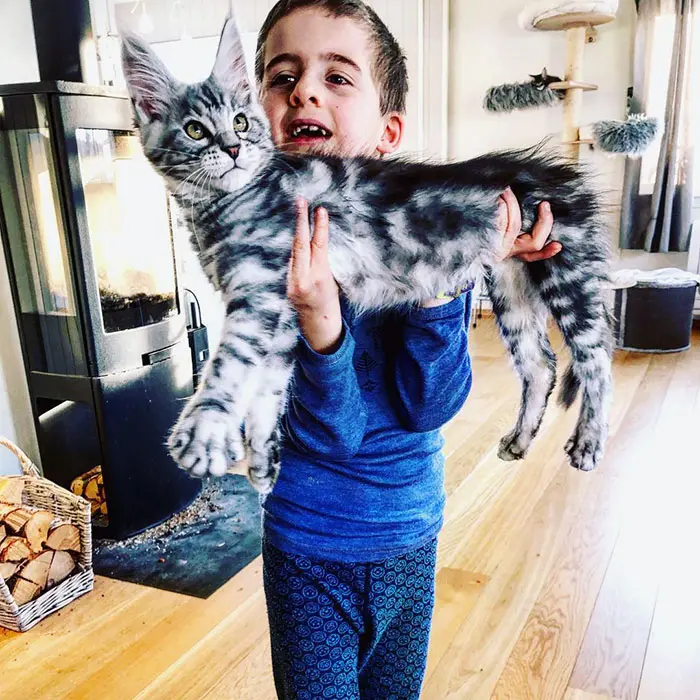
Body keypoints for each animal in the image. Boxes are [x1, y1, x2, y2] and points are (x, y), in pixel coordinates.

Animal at [120, 12, 612, 492]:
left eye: (240, 122)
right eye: (195, 130)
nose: (233, 148)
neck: (222, 205)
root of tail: (566, 175)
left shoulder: (259, 290)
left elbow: (231, 360)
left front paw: (204, 431)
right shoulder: (284, 314)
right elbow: (267, 390)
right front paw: (262, 459)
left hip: (567, 276)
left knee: (596, 359)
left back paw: (589, 442)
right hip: (513, 289)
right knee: (541, 364)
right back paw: (520, 439)